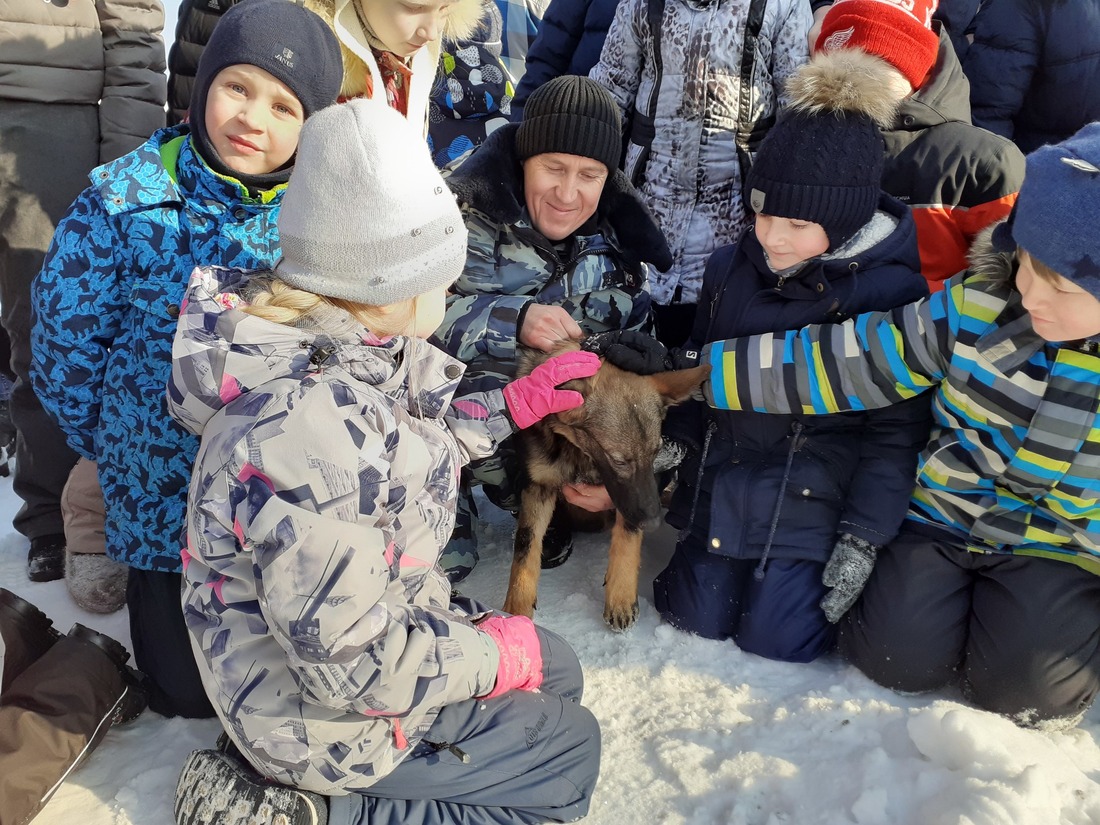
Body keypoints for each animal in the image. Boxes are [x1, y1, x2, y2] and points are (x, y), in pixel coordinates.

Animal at [503, 343, 708, 633]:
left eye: (655, 453)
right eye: (619, 460)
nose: (654, 522)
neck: (578, 452)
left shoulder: (632, 497)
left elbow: (628, 533)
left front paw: (620, 596)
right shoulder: (538, 487)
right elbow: (525, 546)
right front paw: (515, 612)